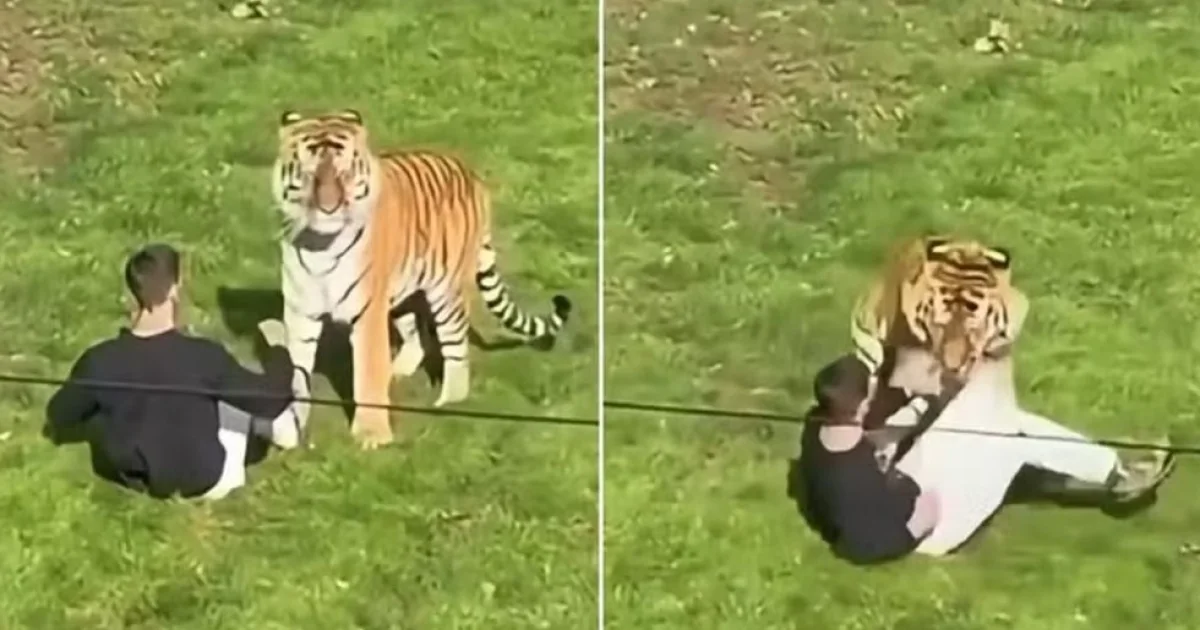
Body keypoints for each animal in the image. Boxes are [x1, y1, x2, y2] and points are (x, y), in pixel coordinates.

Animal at [269, 109, 572, 450]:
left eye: (345, 173)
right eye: (310, 174)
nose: (329, 208)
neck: (319, 245)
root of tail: (472, 176)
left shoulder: (367, 312)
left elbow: (367, 372)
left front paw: (372, 435)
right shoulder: (300, 313)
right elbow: (296, 372)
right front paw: (290, 427)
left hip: (447, 294)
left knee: (455, 348)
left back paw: (448, 401)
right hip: (403, 291)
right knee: (415, 336)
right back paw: (397, 371)